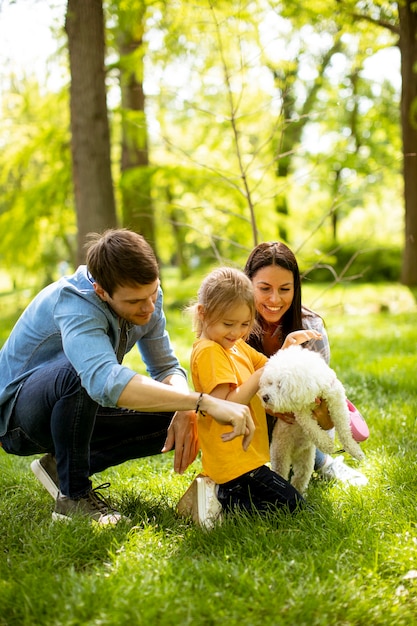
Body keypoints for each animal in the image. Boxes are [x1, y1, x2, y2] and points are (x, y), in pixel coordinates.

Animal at [258, 342, 362, 492]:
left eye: (280, 385)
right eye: (269, 383)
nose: (264, 397)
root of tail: (294, 455)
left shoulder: (336, 399)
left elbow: (343, 427)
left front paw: (355, 450)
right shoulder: (301, 412)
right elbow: (312, 429)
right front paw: (327, 444)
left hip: (305, 461)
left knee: (300, 478)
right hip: (280, 454)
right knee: (282, 473)